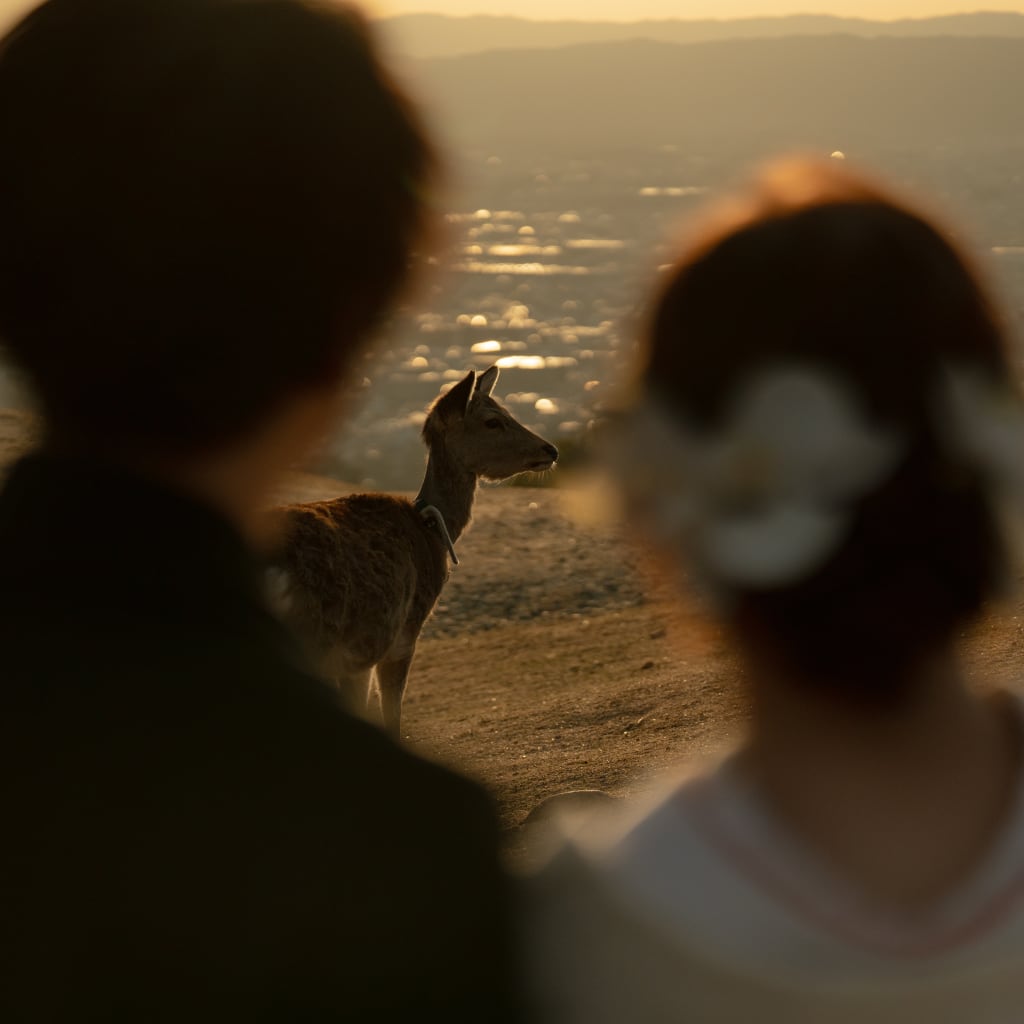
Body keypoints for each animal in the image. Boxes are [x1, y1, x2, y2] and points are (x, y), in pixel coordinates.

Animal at [268, 364, 557, 741]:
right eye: (493, 421)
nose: (550, 450)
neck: (430, 529)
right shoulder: (403, 634)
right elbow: (392, 714)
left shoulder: (359, 659)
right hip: (315, 637)